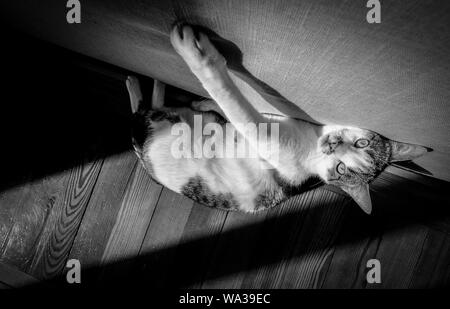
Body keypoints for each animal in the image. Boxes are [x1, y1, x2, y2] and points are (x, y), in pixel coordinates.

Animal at [125, 22, 430, 213]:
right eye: (362, 143)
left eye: (341, 169)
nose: (332, 146)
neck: (312, 141)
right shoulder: (278, 116)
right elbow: (245, 105)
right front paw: (204, 100)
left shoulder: (267, 139)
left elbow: (234, 102)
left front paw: (197, 54)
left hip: (151, 126)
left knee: (141, 113)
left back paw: (139, 84)